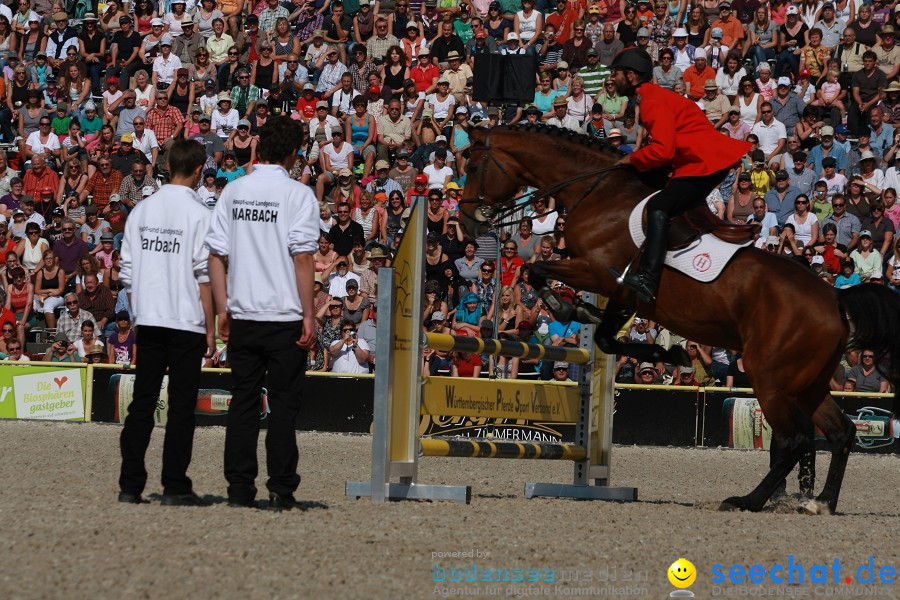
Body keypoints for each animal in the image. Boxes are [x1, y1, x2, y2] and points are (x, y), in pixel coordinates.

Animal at [460, 123, 896, 516]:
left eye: (473, 165)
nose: (467, 220)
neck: (601, 194)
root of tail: (835, 299)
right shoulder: (623, 293)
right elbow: (604, 337)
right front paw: (665, 353)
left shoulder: (597, 272)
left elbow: (535, 269)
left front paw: (567, 308)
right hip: (807, 382)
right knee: (840, 432)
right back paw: (821, 502)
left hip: (770, 378)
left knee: (795, 440)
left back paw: (747, 501)